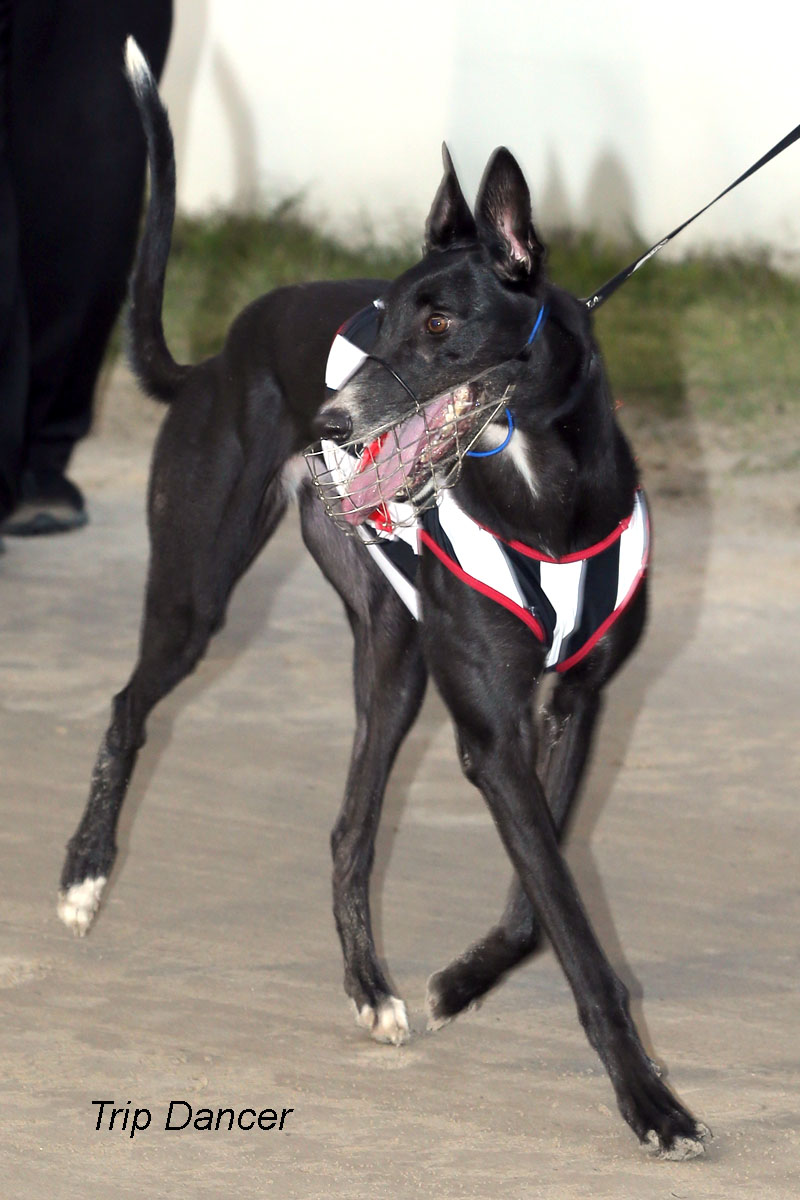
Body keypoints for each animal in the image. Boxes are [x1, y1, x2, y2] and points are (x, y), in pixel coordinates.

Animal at [57, 38, 709, 1160]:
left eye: (441, 321)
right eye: (381, 321)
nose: (328, 418)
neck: (543, 491)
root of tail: (221, 353)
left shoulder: (572, 706)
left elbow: (540, 907)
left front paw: (461, 982)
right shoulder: (492, 733)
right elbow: (573, 928)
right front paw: (648, 1101)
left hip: (394, 659)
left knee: (349, 829)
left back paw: (372, 988)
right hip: (198, 597)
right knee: (128, 704)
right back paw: (85, 877)